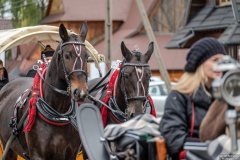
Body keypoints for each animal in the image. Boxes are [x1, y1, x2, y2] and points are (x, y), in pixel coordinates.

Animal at [0, 22, 89, 160]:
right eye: (67, 55)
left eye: (86, 56)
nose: (80, 92)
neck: (59, 113)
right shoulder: (37, 155)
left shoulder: (71, 154)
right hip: (7, 146)